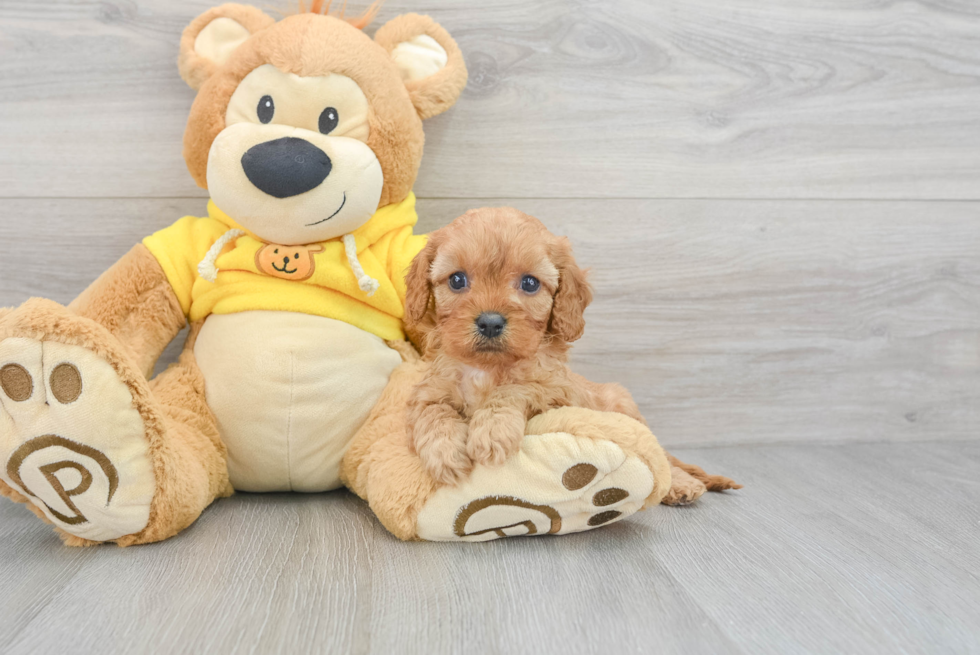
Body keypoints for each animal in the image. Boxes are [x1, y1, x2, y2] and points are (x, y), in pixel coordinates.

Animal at [406, 209, 744, 498]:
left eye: (530, 283)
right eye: (457, 279)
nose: (490, 322)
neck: (487, 369)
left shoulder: (557, 393)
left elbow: (516, 388)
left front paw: (491, 431)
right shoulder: (430, 389)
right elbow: (433, 411)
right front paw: (445, 454)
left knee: (662, 457)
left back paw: (681, 485)